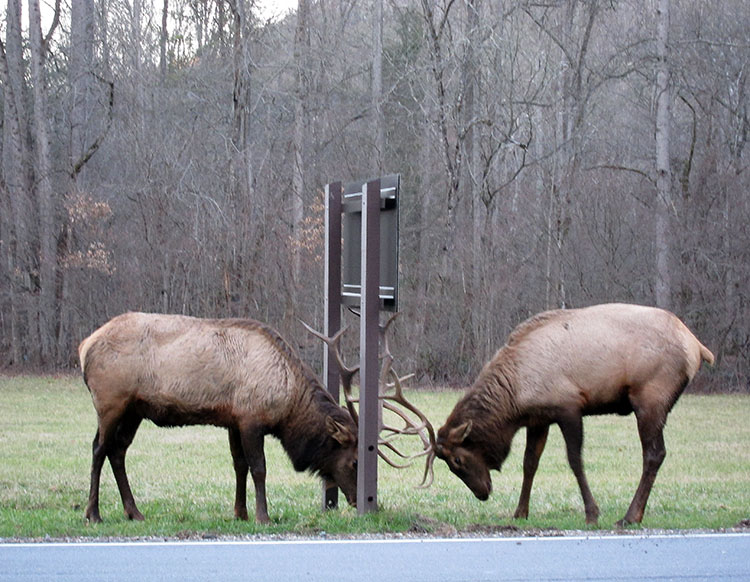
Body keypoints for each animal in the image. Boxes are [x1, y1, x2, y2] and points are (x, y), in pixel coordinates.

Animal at [79, 312, 359, 524]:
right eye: (355, 462)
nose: (357, 501)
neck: (288, 404)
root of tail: (84, 347)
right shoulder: (251, 419)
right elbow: (258, 468)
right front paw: (263, 517)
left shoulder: (234, 421)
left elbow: (239, 465)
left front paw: (240, 513)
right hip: (110, 402)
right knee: (98, 449)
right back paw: (93, 514)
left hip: (133, 410)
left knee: (118, 451)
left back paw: (134, 512)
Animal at [426, 303, 714, 526]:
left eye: (457, 460)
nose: (482, 493)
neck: (514, 398)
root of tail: (697, 347)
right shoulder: (539, 419)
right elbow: (530, 463)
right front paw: (520, 512)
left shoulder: (569, 407)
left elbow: (575, 460)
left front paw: (592, 513)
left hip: (650, 399)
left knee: (654, 454)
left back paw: (630, 516)